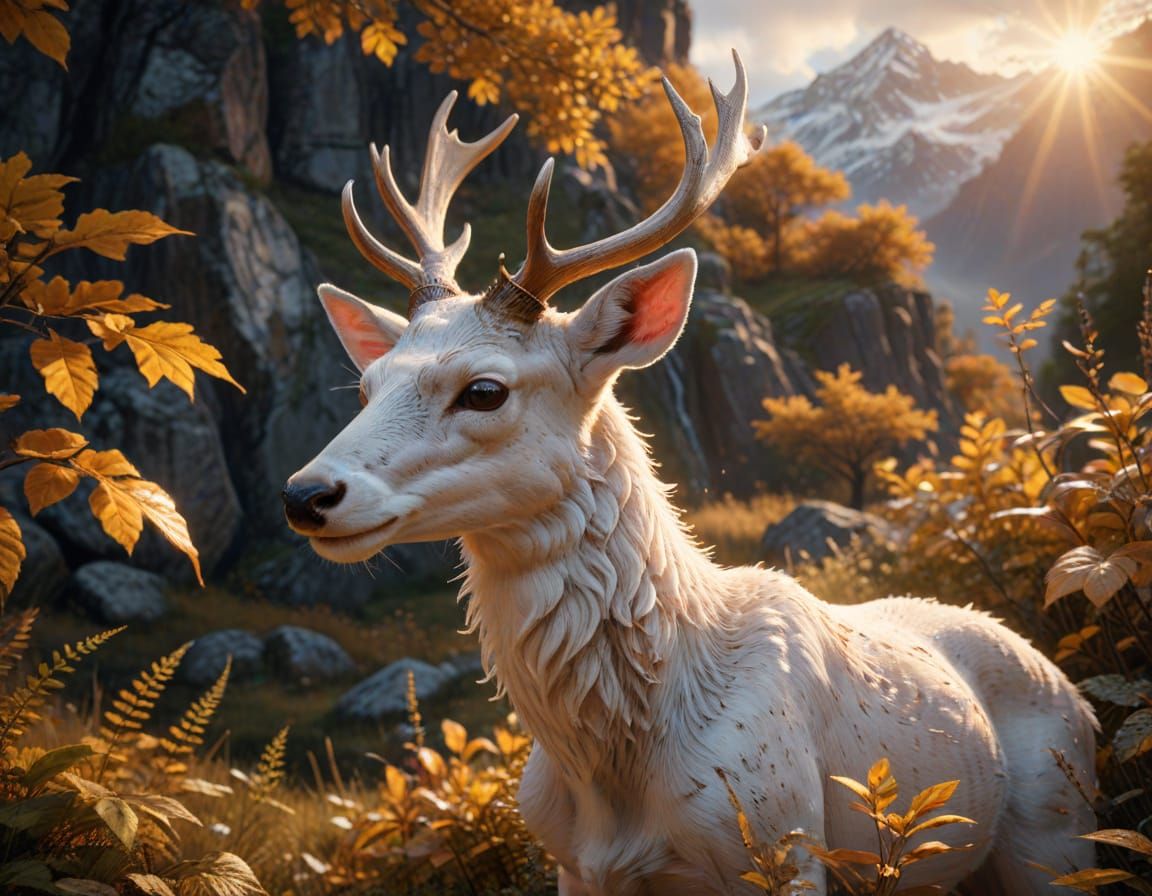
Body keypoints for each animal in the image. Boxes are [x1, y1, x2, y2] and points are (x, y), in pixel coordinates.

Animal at [282, 54, 1097, 896]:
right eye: (367, 387)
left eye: (484, 390)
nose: (306, 495)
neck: (619, 779)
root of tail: (1074, 686)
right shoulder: (573, 864)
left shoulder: (785, 838)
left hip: (1059, 829)